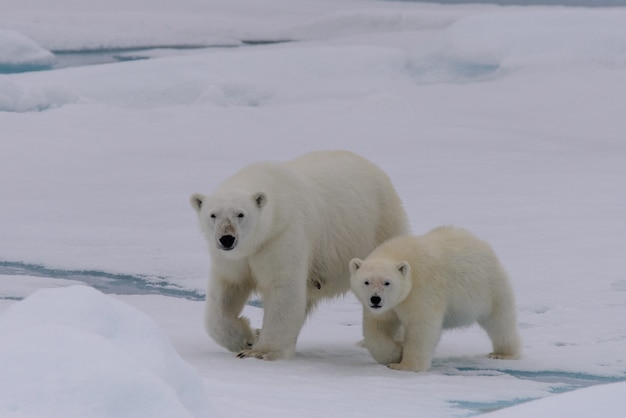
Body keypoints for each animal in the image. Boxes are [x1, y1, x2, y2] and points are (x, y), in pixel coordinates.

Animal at [188, 150, 408, 360]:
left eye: (240, 214)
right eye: (213, 214)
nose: (227, 239)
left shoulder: (282, 236)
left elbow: (283, 287)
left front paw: (261, 352)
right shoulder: (232, 259)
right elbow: (226, 290)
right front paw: (248, 337)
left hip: (380, 228)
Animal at [348, 227, 520, 374]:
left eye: (387, 282)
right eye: (366, 282)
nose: (375, 299)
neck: (399, 253)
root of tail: (482, 244)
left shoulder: (422, 289)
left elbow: (421, 326)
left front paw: (406, 365)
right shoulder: (388, 306)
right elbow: (378, 326)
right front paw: (396, 352)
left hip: (490, 288)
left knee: (500, 321)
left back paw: (502, 353)